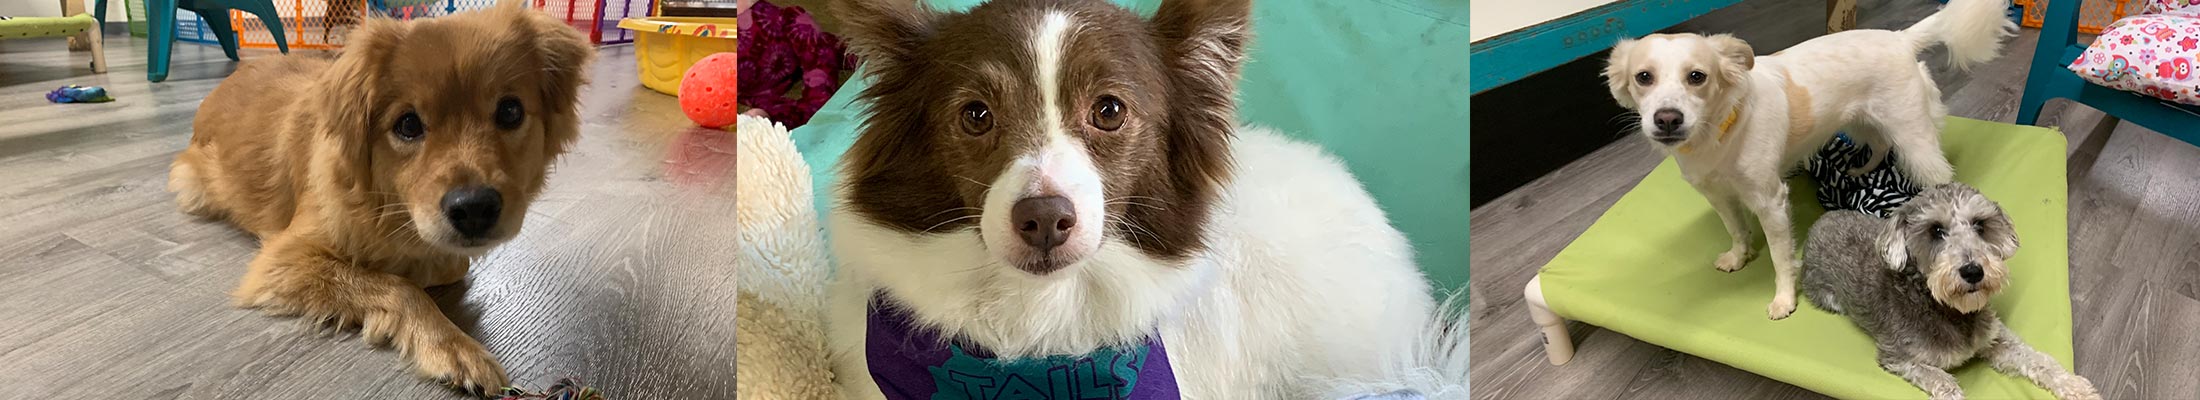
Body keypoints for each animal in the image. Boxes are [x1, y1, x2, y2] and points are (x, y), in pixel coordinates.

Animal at [167, 1, 594, 391]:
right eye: (408, 124)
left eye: (510, 111)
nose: (474, 209)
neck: (387, 205)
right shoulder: (281, 260)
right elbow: (400, 287)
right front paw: (452, 344)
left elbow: (444, 266)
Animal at [1601, 0, 2015, 318]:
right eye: (1643, 77)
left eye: (1697, 77)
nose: (1667, 119)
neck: (1718, 132)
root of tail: (1900, 38)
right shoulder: (1718, 195)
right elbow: (1737, 230)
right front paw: (1739, 257)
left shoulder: (1770, 202)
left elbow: (1780, 258)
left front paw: (1784, 300)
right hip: (1862, 123)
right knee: (1879, 145)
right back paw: (1861, 168)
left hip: (1914, 139)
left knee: (1938, 175)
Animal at [1804, 183, 2094, 400]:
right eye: (1936, 230)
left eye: (1980, 225)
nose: (1973, 271)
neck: (1948, 310)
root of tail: (1819, 221)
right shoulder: (1900, 358)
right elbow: (1944, 382)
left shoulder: (1995, 337)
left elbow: (2038, 359)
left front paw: (2076, 386)